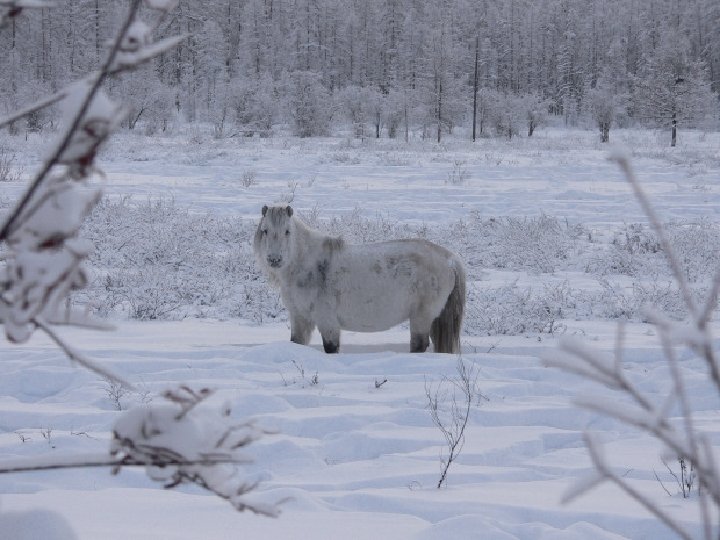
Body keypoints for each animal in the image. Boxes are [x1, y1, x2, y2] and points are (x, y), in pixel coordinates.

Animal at [253, 205, 466, 354]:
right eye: (265, 230)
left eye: (287, 231)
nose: (274, 259)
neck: (307, 265)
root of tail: (450, 258)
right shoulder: (300, 319)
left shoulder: (327, 321)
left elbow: (331, 348)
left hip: (422, 317)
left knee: (419, 345)